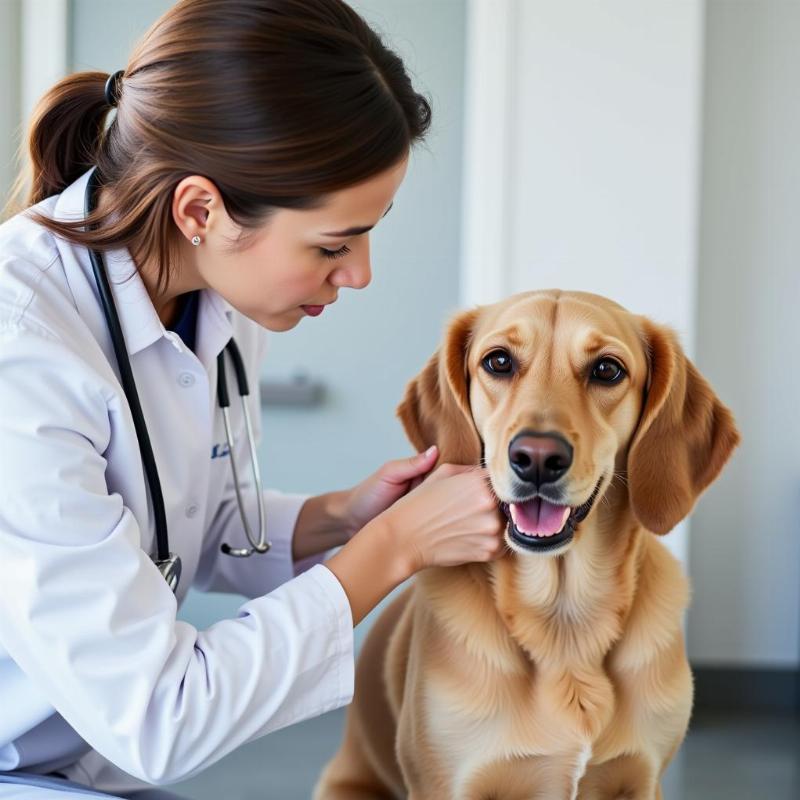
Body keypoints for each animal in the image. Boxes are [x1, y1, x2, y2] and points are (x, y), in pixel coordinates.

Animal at [316, 292, 740, 800]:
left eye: (607, 369)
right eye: (498, 361)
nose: (537, 458)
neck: (565, 623)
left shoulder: (642, 780)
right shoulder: (446, 784)